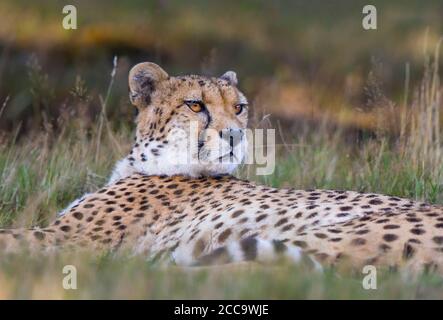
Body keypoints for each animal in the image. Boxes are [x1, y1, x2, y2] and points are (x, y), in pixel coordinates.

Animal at [0, 62, 443, 276]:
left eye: (239, 107)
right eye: (195, 105)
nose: (234, 135)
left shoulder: (66, 238)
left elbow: (12, 237)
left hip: (321, 235)